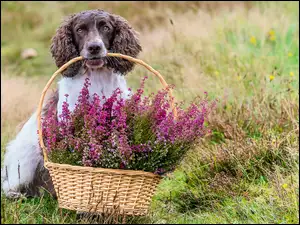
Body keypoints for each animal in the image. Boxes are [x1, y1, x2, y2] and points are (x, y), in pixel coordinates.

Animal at [1, 9, 142, 199]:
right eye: (80, 30)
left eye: (105, 27)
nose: (94, 47)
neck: (98, 79)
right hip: (25, 159)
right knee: (9, 185)